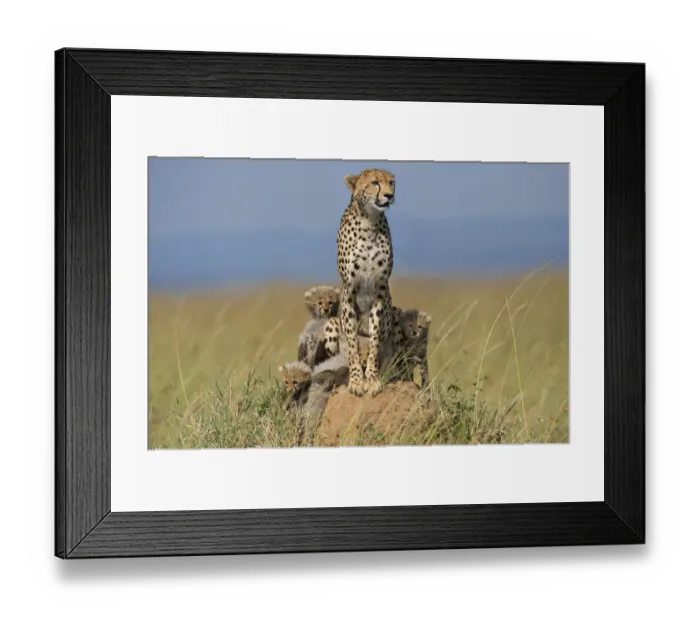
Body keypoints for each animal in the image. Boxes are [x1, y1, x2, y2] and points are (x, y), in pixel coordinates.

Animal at [336, 168, 396, 397]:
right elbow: (353, 345)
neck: (369, 222)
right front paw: (356, 381)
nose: (389, 195)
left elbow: (374, 342)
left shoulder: (380, 292)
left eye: (391, 182)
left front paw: (371, 379)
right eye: (374, 183)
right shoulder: (349, 292)